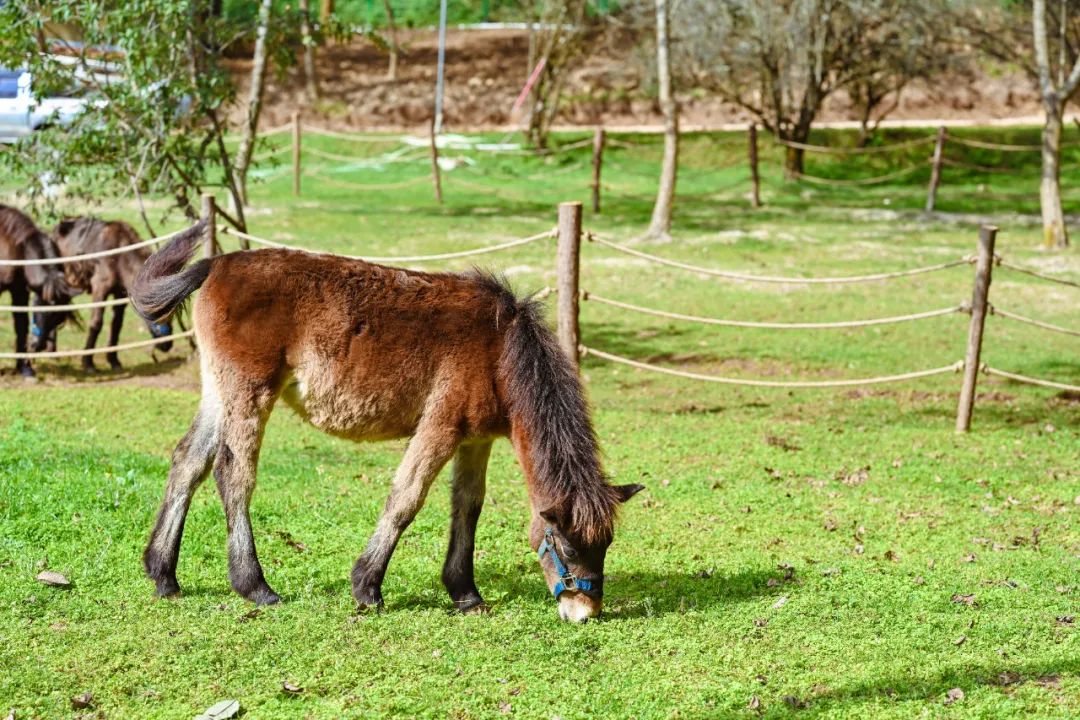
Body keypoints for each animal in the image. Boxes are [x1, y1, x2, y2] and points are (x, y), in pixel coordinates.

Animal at [0, 204, 77, 377]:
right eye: (45, 309)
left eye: (59, 319)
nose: (39, 346)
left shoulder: (19, 291)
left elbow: (21, 326)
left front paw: (24, 368)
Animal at [32, 216, 172, 371]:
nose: (167, 345)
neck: (119, 255)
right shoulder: (100, 289)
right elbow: (96, 323)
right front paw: (88, 362)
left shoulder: (119, 294)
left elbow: (116, 325)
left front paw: (114, 361)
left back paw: (52, 352)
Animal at [131, 226, 643, 626]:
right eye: (567, 547)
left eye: (605, 545)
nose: (585, 612)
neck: (500, 350)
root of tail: (216, 264)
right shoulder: (440, 427)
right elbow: (406, 498)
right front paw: (367, 586)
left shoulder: (475, 439)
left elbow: (468, 506)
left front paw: (465, 593)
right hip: (249, 392)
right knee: (233, 475)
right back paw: (255, 585)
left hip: (220, 393)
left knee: (188, 463)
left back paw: (164, 574)